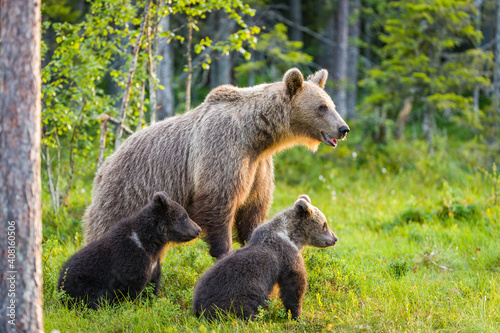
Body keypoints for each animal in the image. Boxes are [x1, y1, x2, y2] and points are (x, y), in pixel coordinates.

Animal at [83, 67, 348, 256]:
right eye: (322, 107)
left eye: (332, 104)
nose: (343, 128)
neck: (257, 135)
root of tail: (104, 165)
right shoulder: (223, 151)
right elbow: (219, 202)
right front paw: (223, 251)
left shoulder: (258, 166)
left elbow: (253, 206)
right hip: (126, 194)